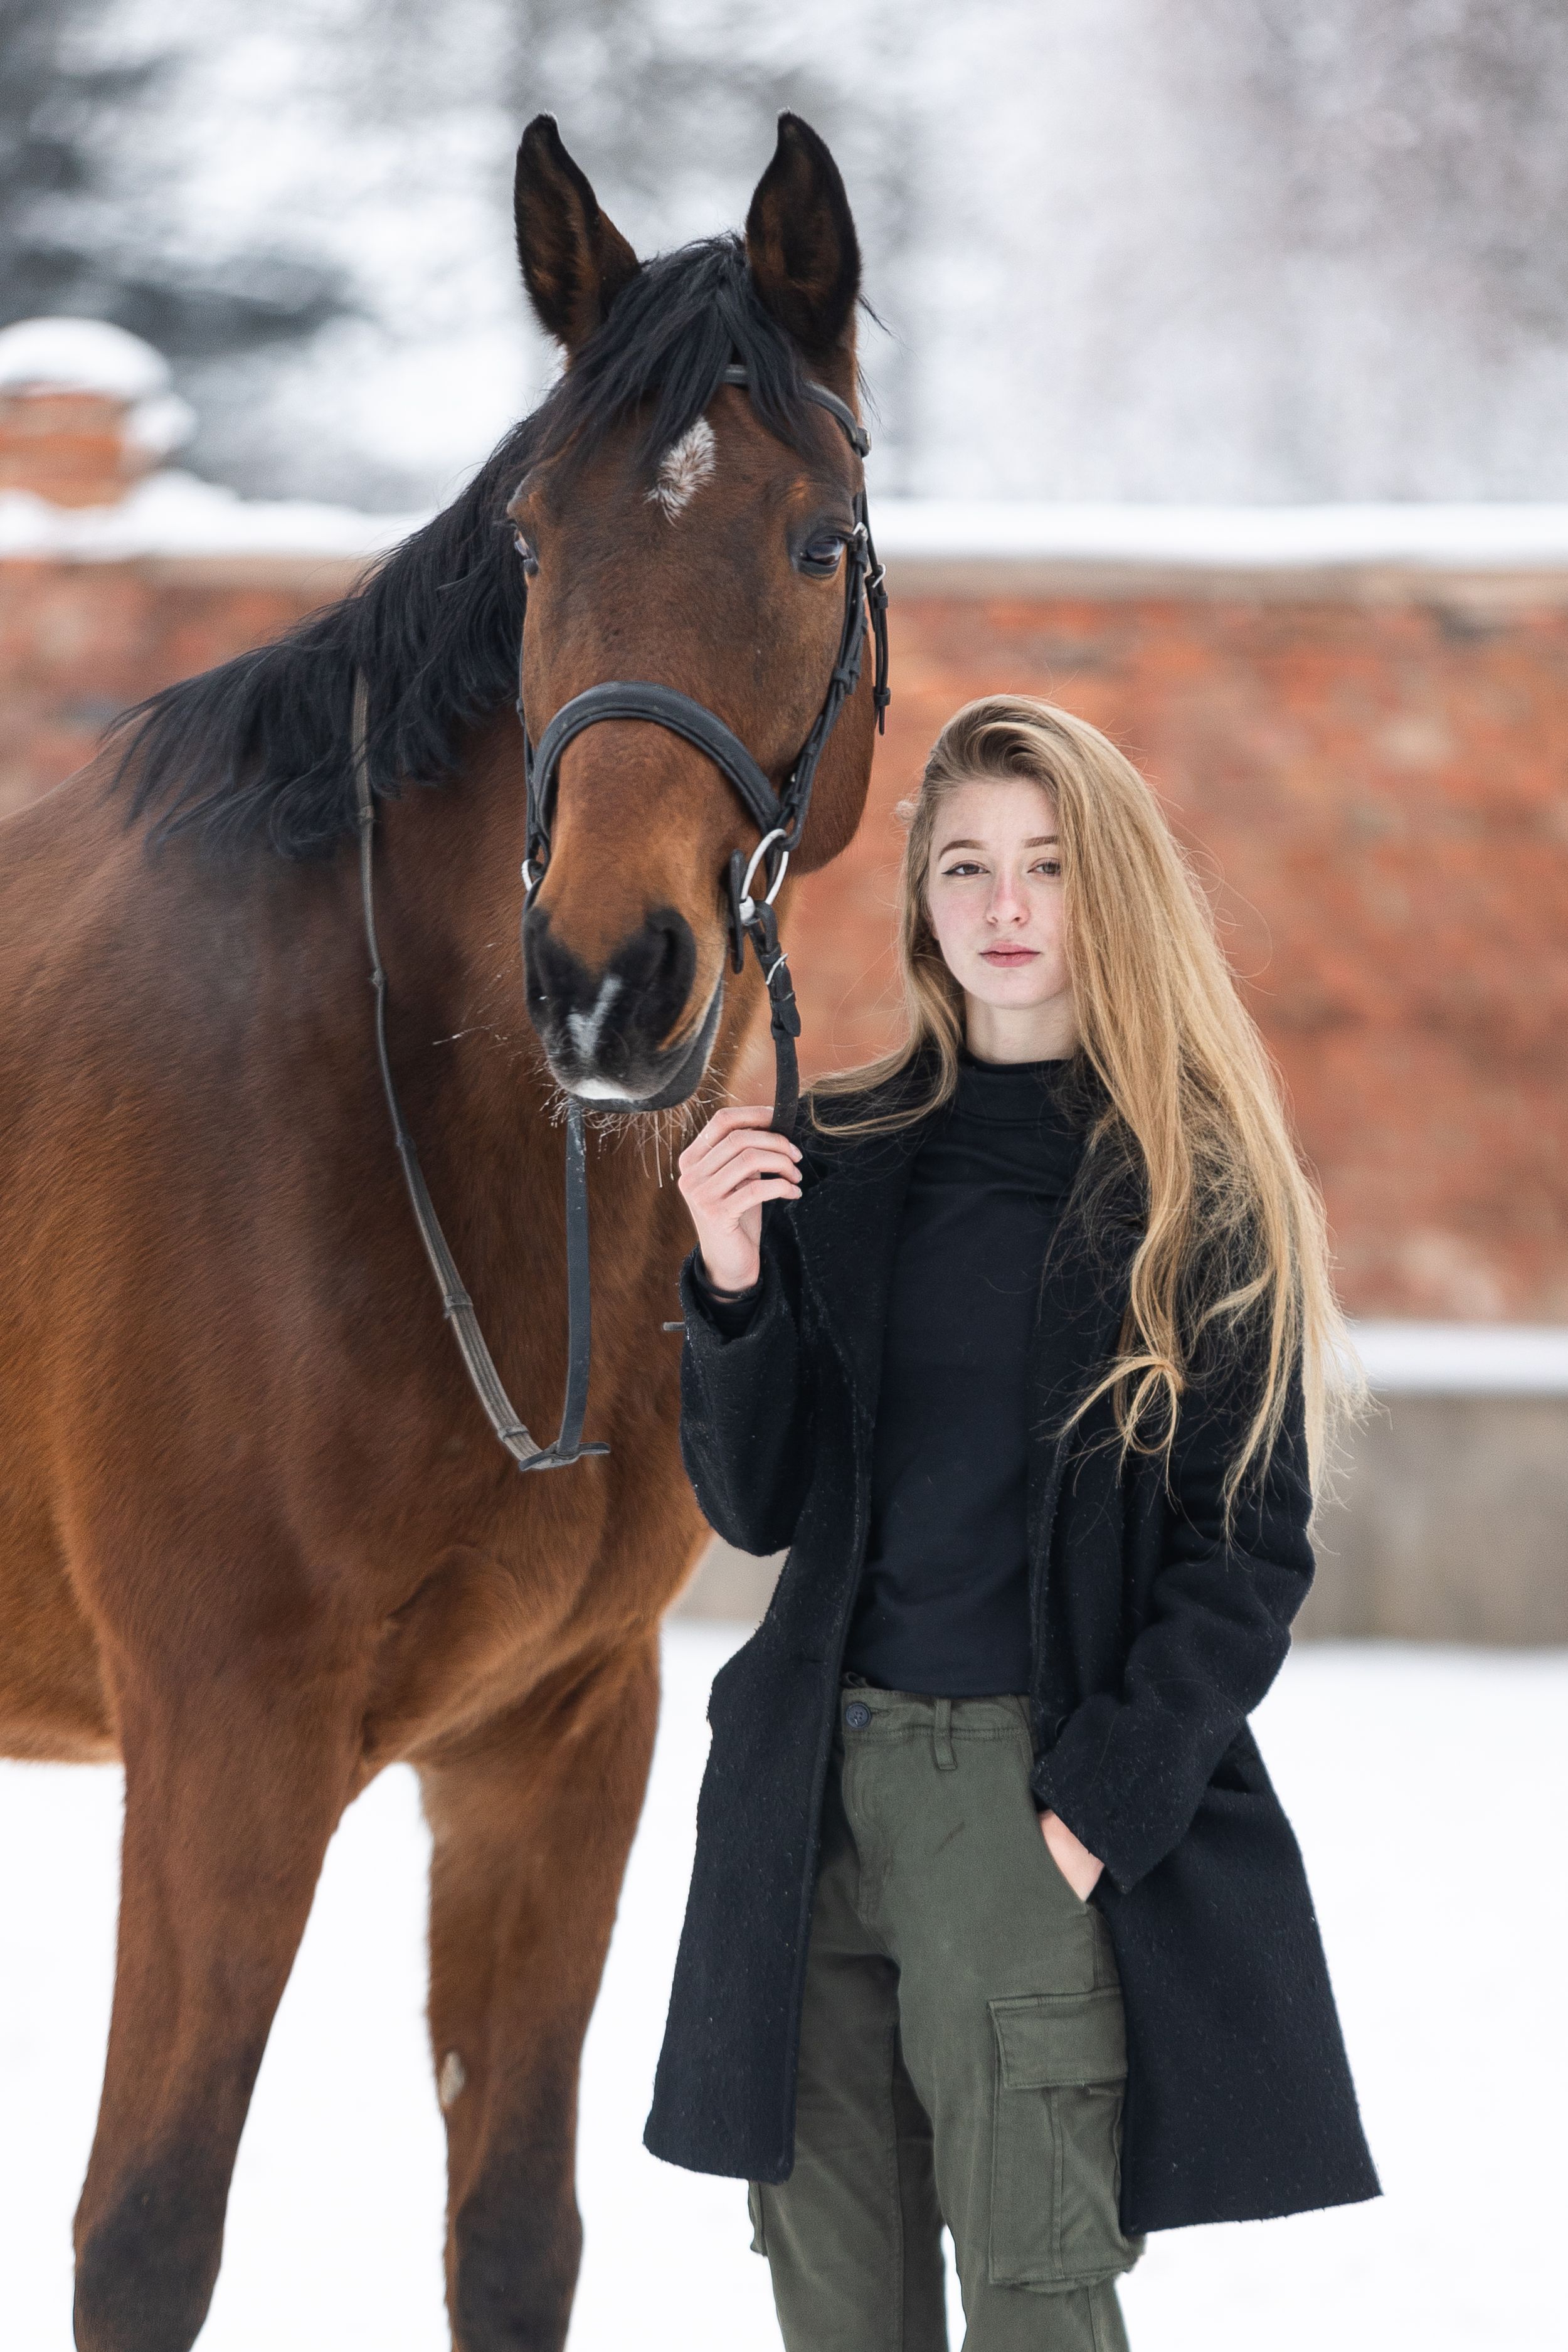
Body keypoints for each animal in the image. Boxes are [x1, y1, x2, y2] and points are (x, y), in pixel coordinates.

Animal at [0, 111, 879, 2352]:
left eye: (813, 541)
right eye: (535, 546)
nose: (607, 981)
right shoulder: (223, 1748)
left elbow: (512, 2228)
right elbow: (145, 2234)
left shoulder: (547, 1745)